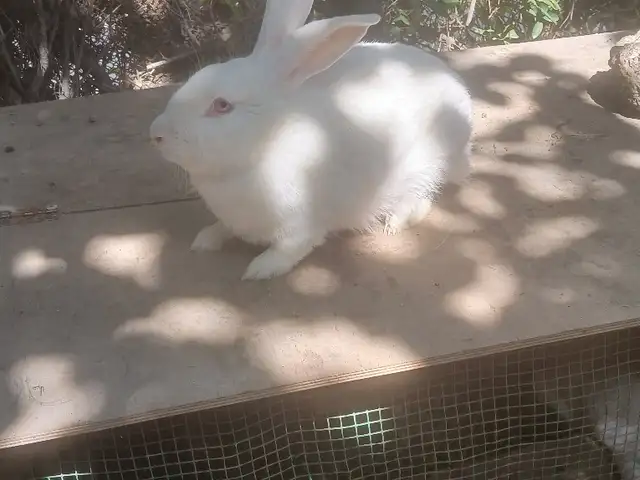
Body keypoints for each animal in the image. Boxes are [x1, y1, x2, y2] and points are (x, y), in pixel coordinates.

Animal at [149, 0, 473, 280]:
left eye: (221, 105)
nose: (156, 133)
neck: (267, 142)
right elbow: (222, 228)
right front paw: (206, 239)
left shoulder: (300, 226)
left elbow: (290, 249)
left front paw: (260, 269)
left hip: (425, 164)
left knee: (421, 199)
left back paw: (393, 224)